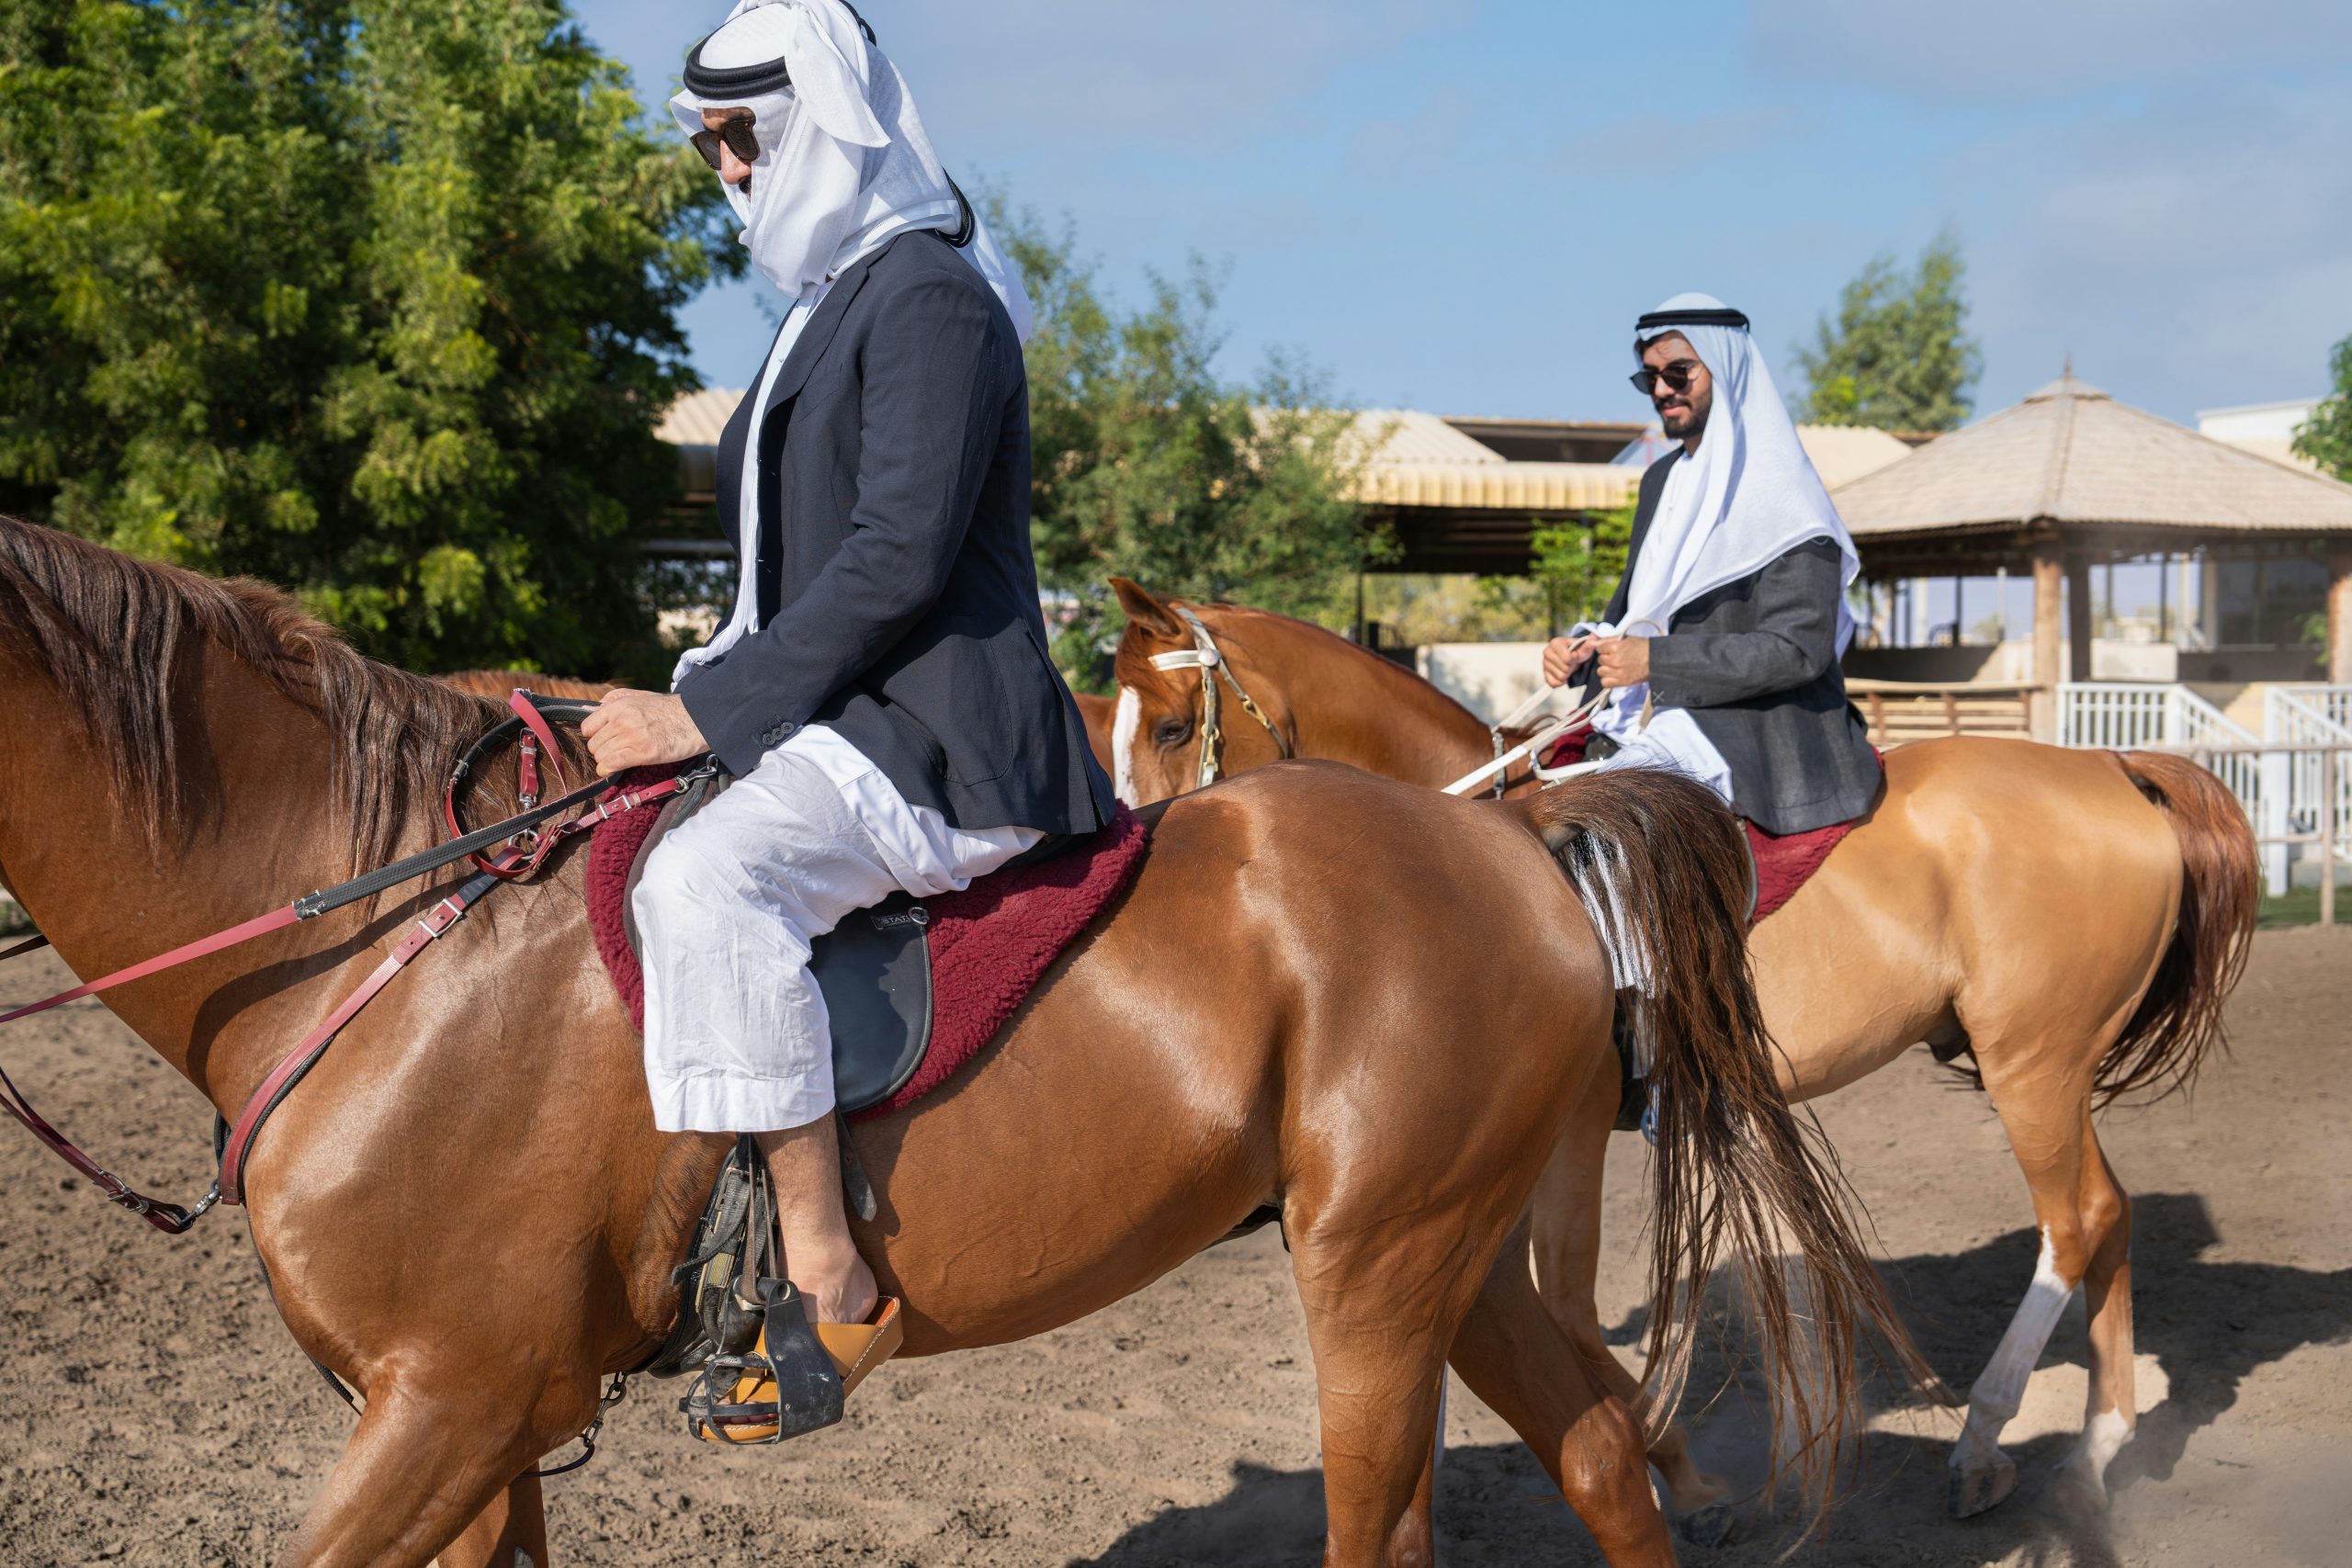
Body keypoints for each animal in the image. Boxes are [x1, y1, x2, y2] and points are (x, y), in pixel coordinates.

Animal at [0, 517, 1928, 1568]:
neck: (381, 921)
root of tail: (1507, 838)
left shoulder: (447, 1404)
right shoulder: (472, 1433)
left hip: (1378, 1270)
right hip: (1447, 1255)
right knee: (1600, 1448)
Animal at [1110, 582, 2267, 1523]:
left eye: (1170, 724)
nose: (1140, 870)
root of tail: (2112, 767)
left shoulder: (1570, 1129)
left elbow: (1570, 1314)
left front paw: (1684, 1475)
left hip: (2032, 1065)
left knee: (2072, 1223)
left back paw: (1984, 1443)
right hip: (2045, 1070)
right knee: (2110, 1213)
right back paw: (2097, 1450)